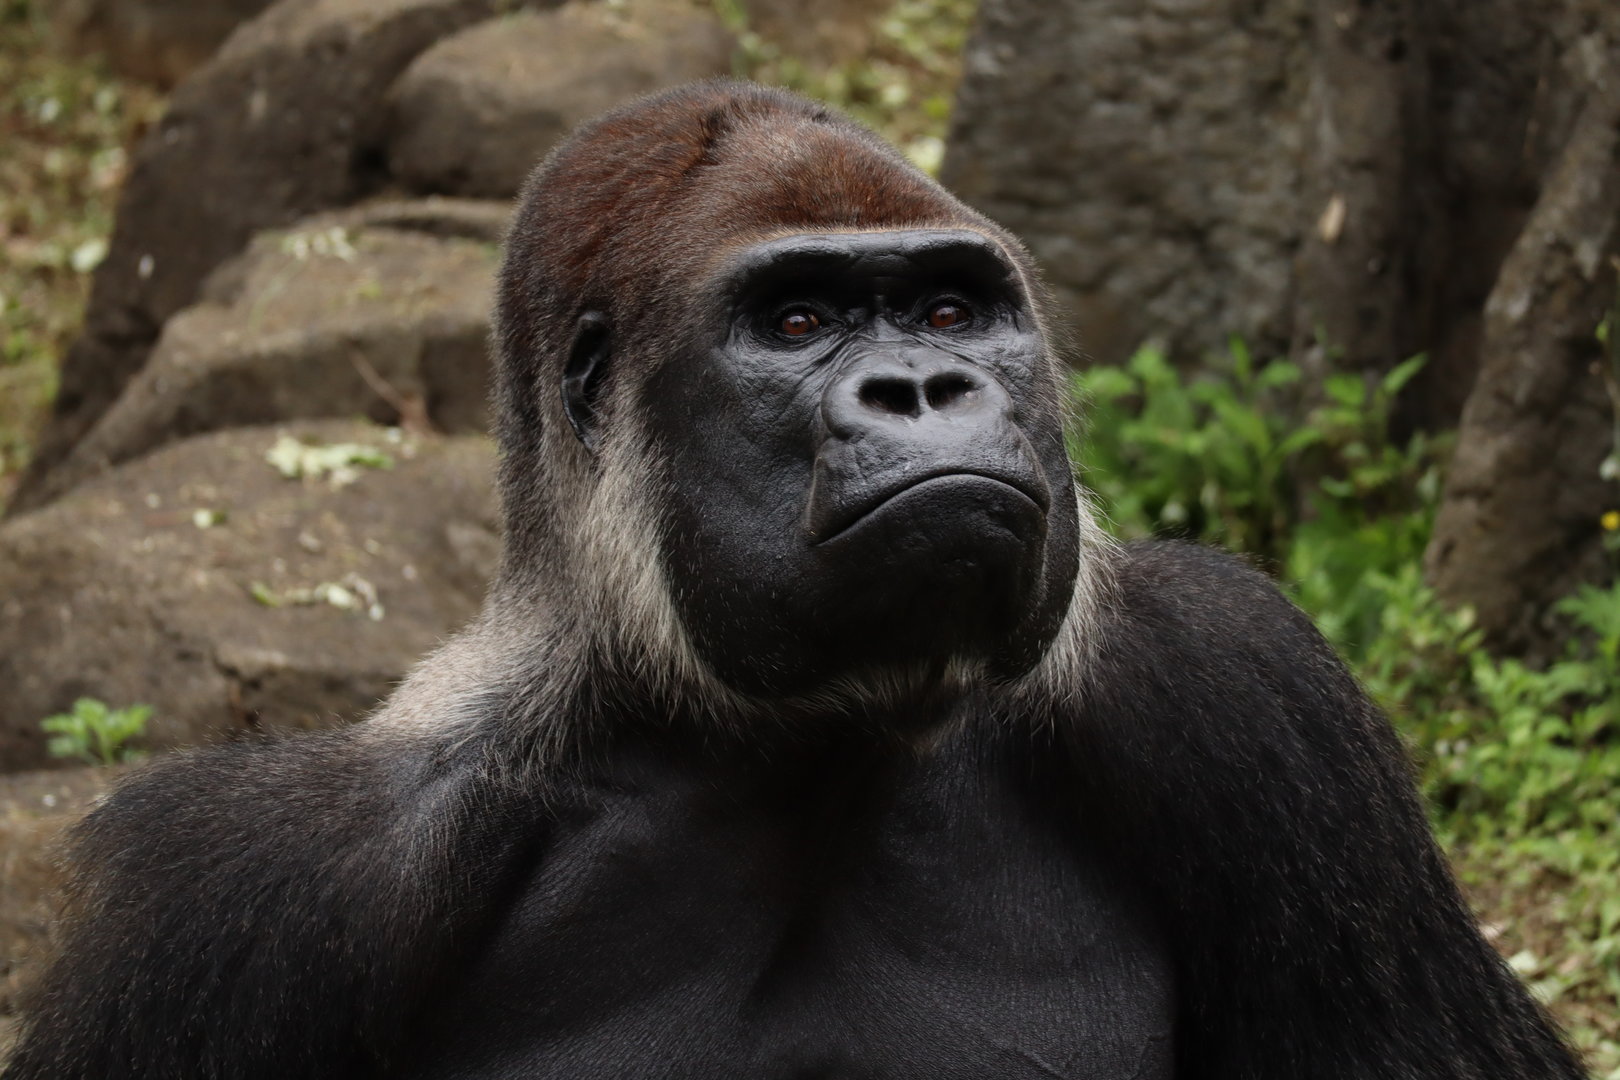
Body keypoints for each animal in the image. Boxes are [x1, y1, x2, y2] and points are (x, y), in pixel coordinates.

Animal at [3, 80, 1587, 1080]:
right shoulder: (247, 888)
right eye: (800, 319)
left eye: (949, 310)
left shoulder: (1246, 687)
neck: (780, 727)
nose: (928, 389)